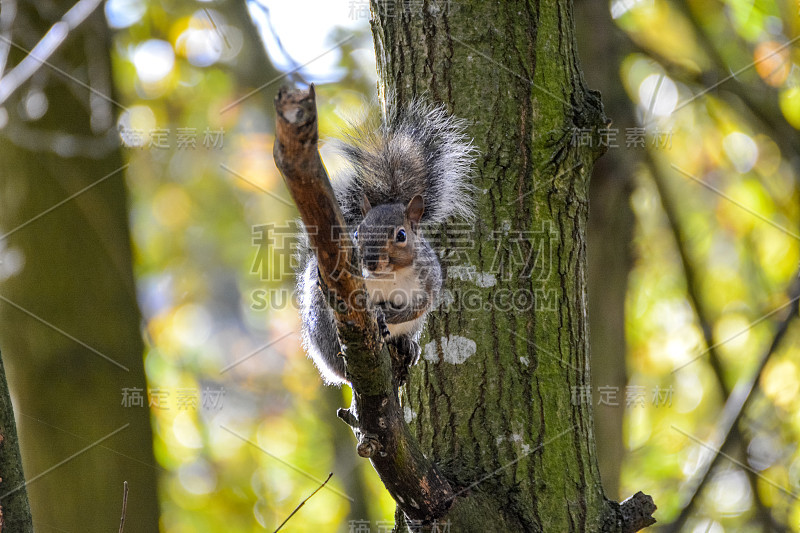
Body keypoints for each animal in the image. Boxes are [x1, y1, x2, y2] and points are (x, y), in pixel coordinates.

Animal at [298, 98, 476, 382]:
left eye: (401, 235)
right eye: (356, 233)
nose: (370, 261)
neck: (388, 276)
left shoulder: (427, 283)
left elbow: (417, 307)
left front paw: (388, 313)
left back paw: (408, 345)